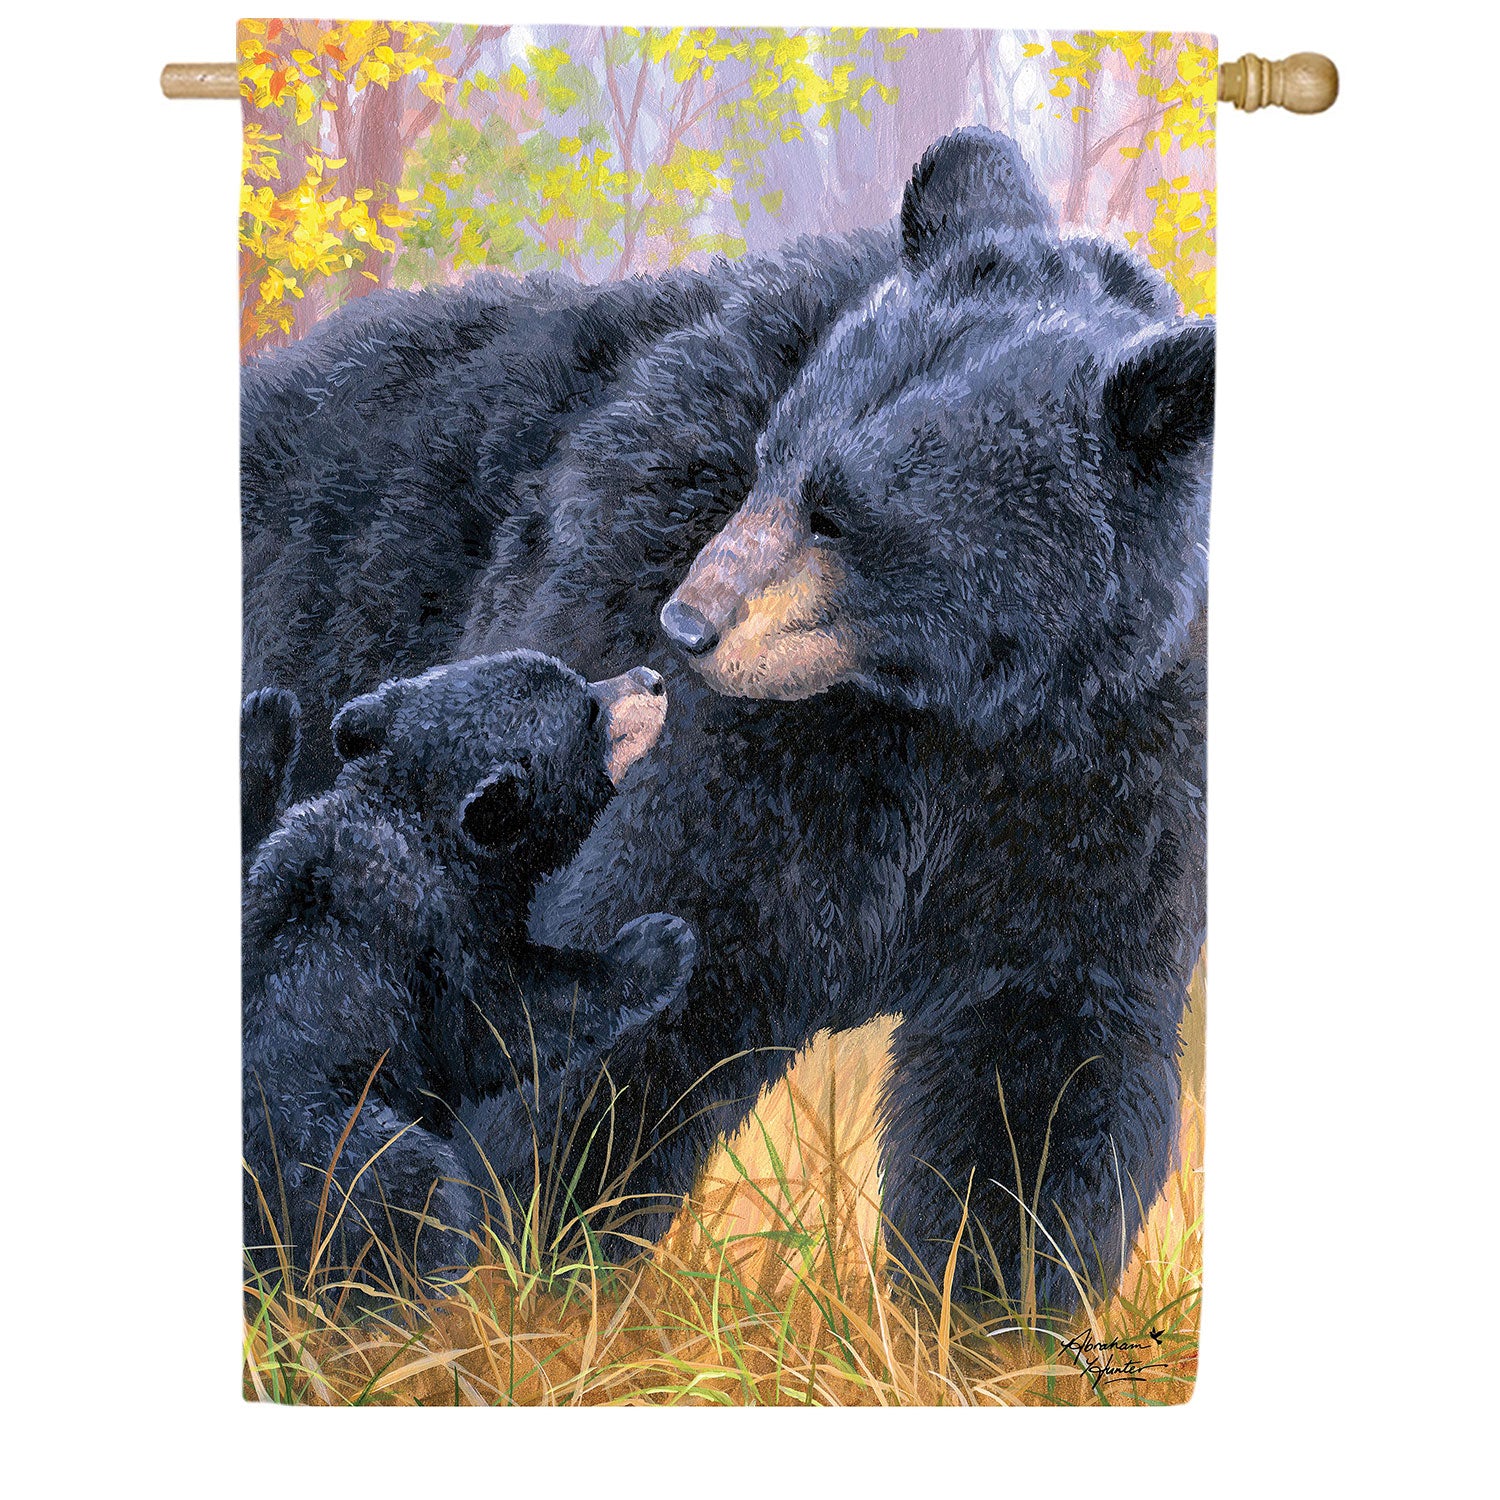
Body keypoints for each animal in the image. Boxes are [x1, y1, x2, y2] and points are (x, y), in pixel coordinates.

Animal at [242, 651, 695, 1289]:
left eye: (579, 678)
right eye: (589, 711)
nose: (652, 679)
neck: (413, 818)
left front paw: (270, 714)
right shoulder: (430, 940)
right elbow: (500, 1023)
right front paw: (656, 943)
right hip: (329, 1159)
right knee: (418, 1199)